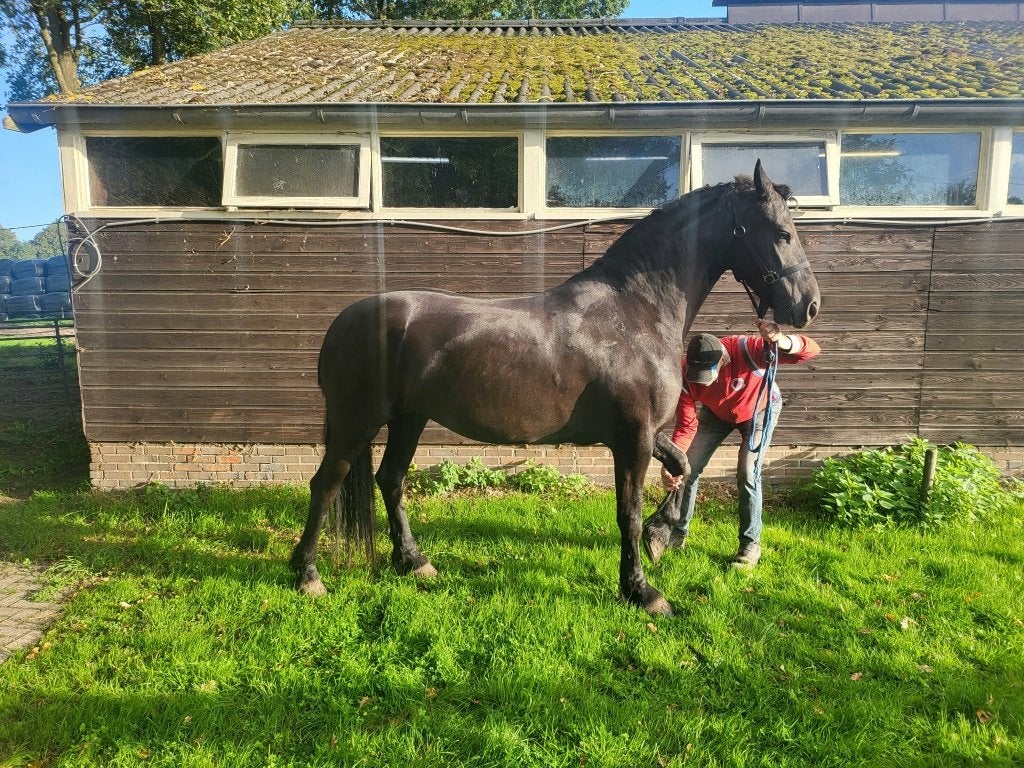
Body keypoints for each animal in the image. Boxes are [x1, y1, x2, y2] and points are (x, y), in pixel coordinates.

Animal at [290, 160, 820, 616]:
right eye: (782, 232)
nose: (808, 305)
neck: (636, 313)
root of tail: (344, 322)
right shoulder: (632, 439)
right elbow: (628, 512)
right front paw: (643, 591)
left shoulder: (644, 434)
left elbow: (684, 468)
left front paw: (661, 536)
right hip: (357, 422)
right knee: (326, 484)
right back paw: (308, 575)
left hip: (409, 419)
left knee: (392, 480)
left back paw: (414, 561)